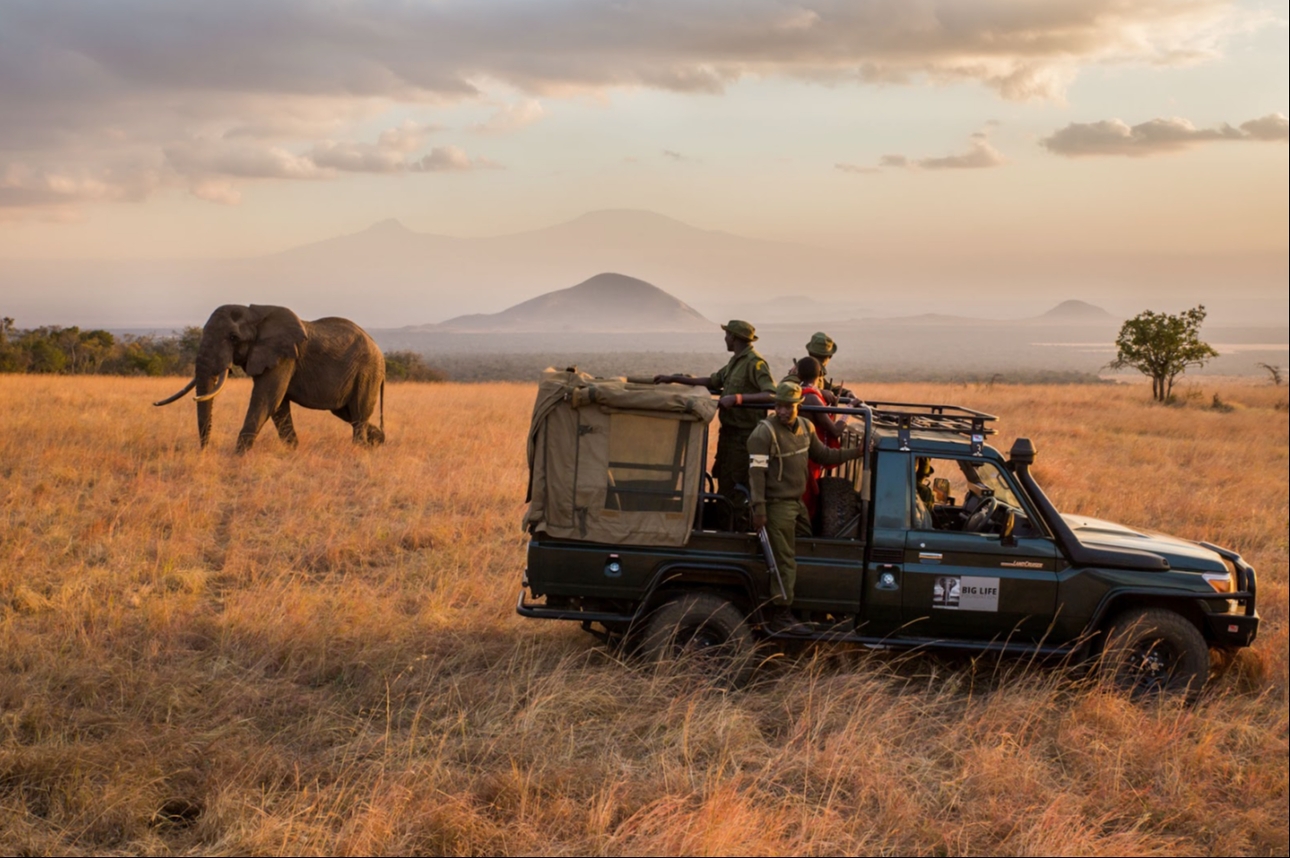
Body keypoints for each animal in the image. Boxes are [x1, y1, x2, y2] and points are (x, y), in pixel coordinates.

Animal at [154, 304, 381, 451]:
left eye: (233, 338)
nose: (204, 451)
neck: (255, 314)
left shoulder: (284, 356)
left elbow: (266, 398)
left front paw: (238, 455)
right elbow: (278, 405)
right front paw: (292, 451)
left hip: (367, 372)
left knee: (358, 413)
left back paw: (360, 449)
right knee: (348, 413)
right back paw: (378, 441)